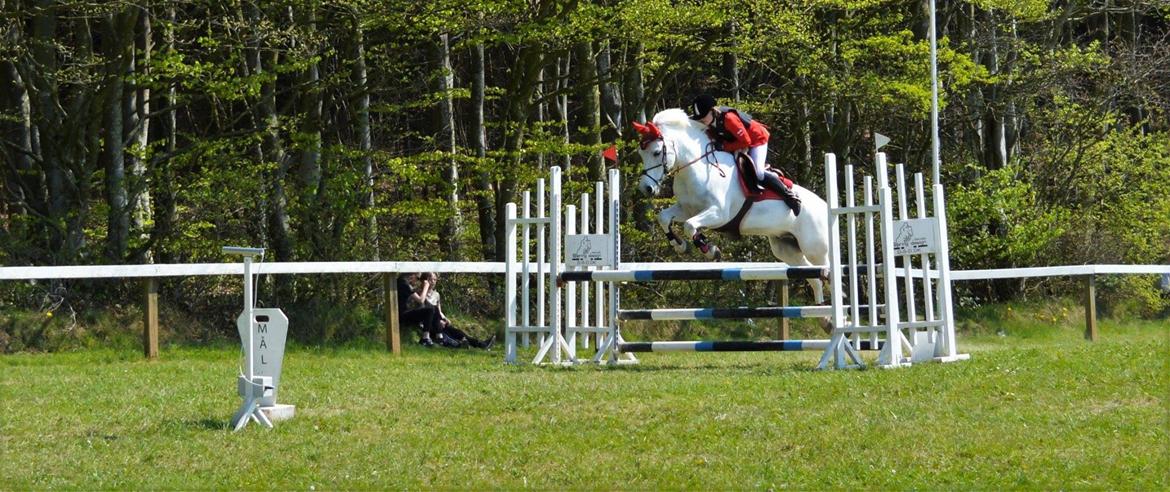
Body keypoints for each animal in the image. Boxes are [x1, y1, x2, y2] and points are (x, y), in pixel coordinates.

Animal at [631, 109, 833, 303]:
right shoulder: (687, 209)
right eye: (641, 154)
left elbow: (689, 225)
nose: (646, 188)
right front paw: (680, 245)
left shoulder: (719, 214)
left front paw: (709, 250)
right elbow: (664, 218)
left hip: (815, 248)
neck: (697, 169)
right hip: (787, 249)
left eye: (657, 152)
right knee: (815, 279)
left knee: (828, 274)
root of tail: (825, 206)